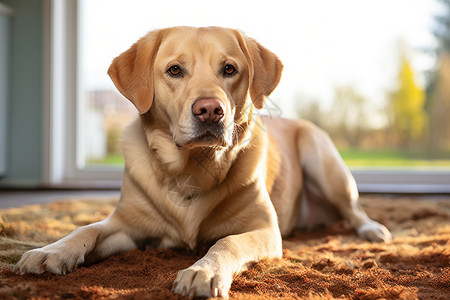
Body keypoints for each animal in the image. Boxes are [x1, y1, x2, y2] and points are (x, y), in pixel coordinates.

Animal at [14, 27, 390, 298]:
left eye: (229, 69)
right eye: (174, 70)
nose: (210, 110)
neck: (191, 169)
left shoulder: (264, 230)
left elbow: (227, 242)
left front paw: (202, 271)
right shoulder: (126, 226)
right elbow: (87, 229)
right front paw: (51, 252)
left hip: (322, 158)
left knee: (354, 209)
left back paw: (372, 230)